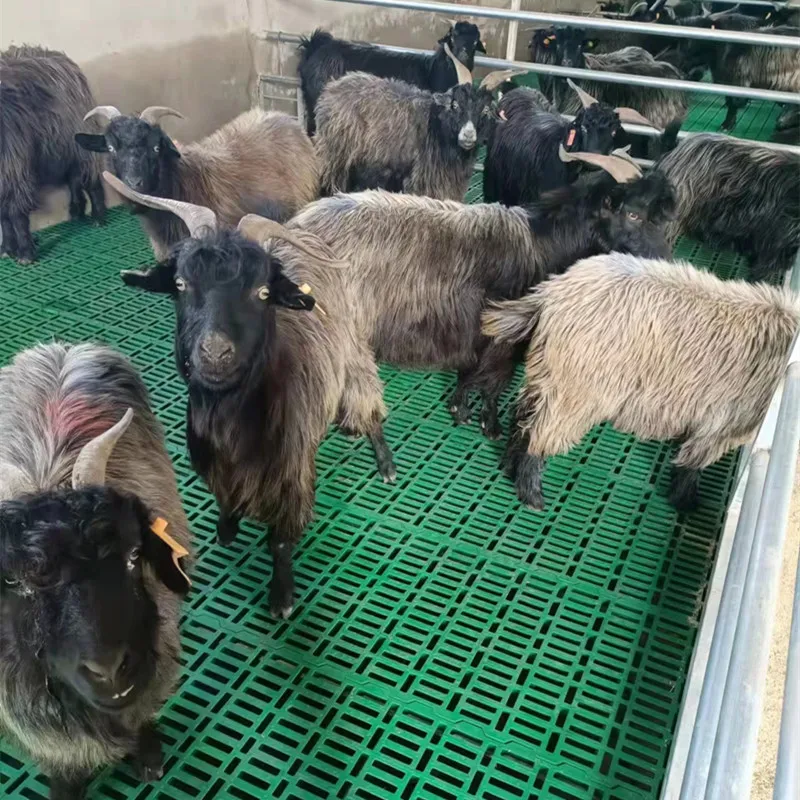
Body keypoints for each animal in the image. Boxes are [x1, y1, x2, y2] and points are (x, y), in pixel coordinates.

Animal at [0, 45, 105, 264]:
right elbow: (3, 217)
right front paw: (7, 248)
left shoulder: (14, 169)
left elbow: (16, 214)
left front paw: (25, 253)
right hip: (58, 151)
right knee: (73, 179)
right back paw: (77, 211)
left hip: (79, 141)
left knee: (90, 178)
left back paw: (98, 217)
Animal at [315, 46, 521, 199]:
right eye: (454, 105)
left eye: (485, 109)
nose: (468, 135)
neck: (438, 128)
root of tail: (332, 88)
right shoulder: (423, 184)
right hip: (336, 160)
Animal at [482, 253, 800, 512]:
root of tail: (551, 295)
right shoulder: (726, 422)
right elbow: (694, 461)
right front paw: (685, 501)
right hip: (576, 390)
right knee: (540, 434)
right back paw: (532, 495)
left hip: (548, 374)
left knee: (522, 418)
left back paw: (510, 466)